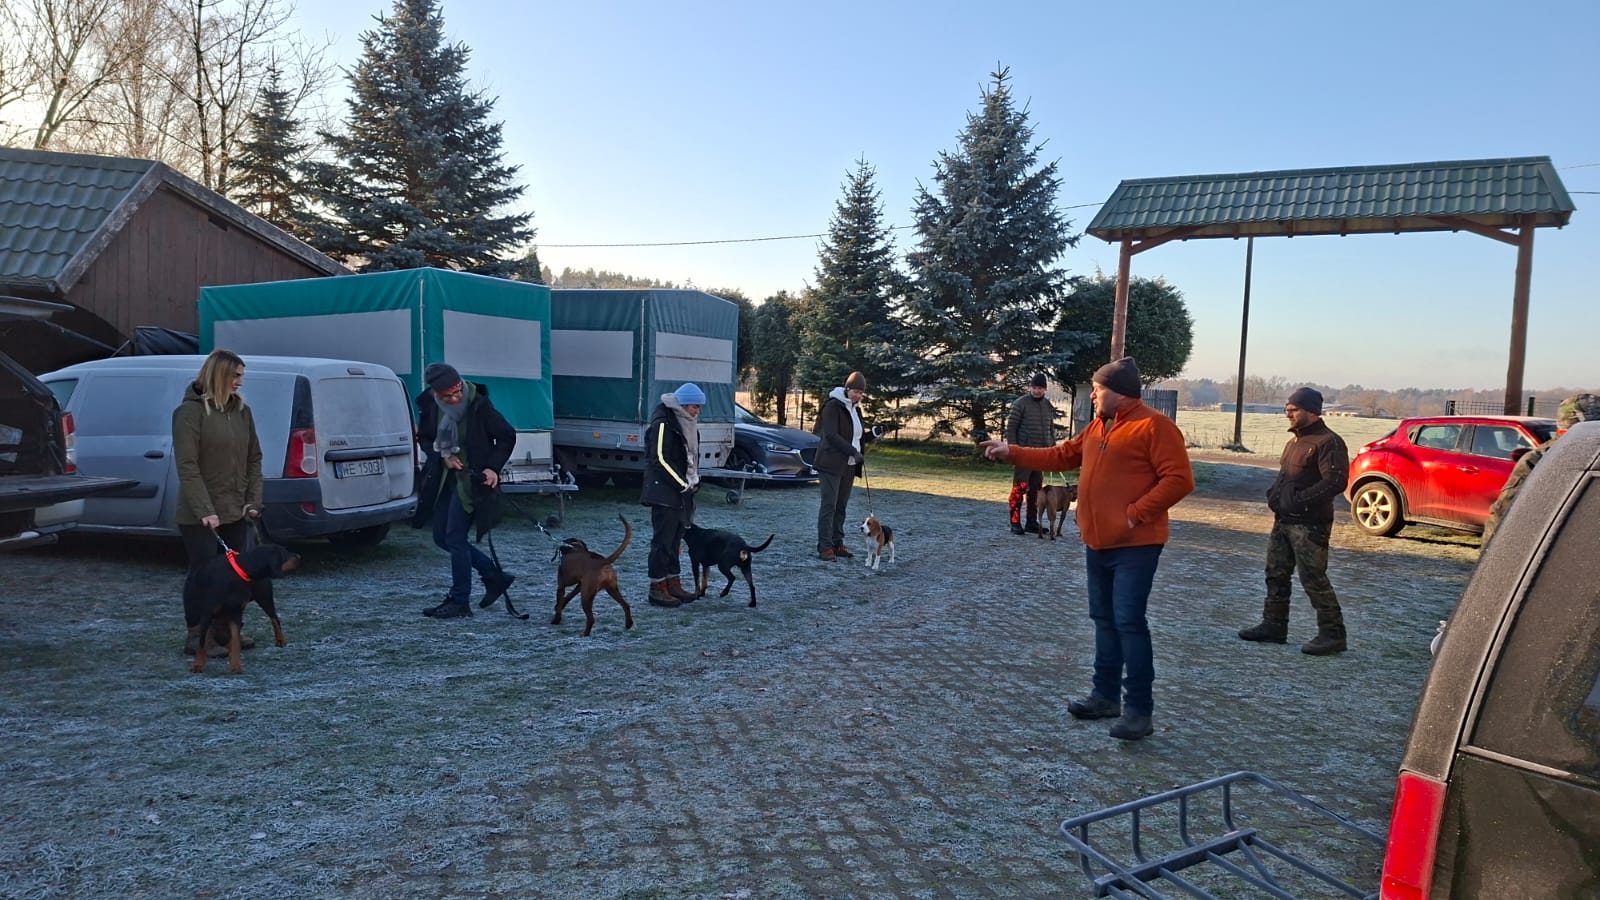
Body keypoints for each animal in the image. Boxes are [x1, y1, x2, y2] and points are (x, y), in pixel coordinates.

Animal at [185, 543, 300, 674]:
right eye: (285, 552)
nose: (299, 556)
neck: (240, 572)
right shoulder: (207, 614)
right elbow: (202, 643)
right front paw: (198, 665)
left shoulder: (235, 613)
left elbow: (235, 641)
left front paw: (236, 665)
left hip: (264, 598)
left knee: (274, 618)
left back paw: (280, 639)